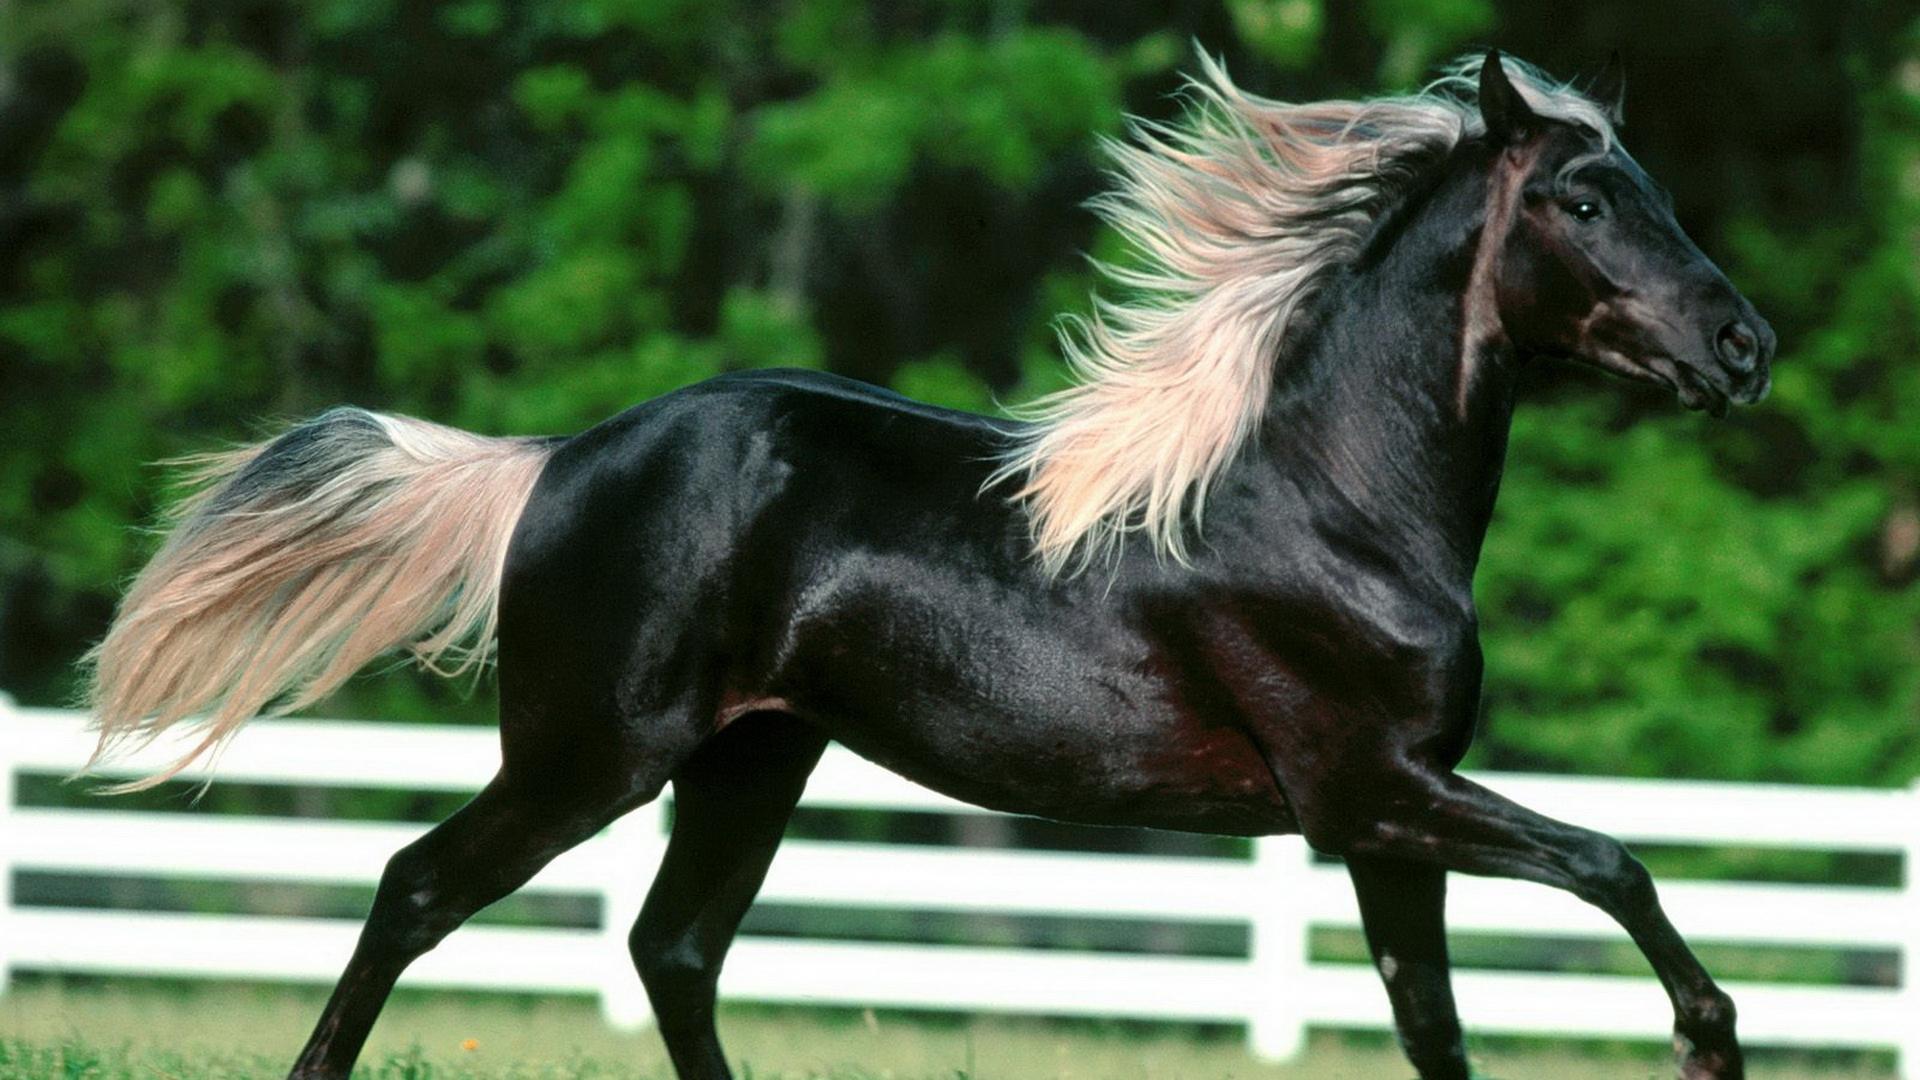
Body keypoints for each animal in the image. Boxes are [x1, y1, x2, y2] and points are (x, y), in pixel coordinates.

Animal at [84, 50, 1774, 1080]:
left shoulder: (1384, 818)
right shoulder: (1368, 788)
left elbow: (1435, 1022)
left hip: (750, 760)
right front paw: (1706, 1038)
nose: (1745, 347)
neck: (1335, 505)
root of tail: (555, 463)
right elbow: (1614, 864)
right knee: (421, 887)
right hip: (592, 754)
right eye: (1581, 197)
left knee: (673, 947)